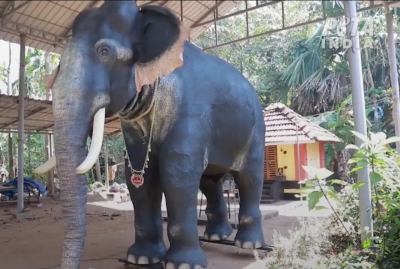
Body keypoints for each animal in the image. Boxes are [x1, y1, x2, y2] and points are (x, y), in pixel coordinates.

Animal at [34, 1, 266, 266]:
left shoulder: (191, 109)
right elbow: (138, 176)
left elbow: (178, 171)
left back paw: (248, 244)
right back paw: (216, 236)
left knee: (249, 178)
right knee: (211, 181)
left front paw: (183, 264)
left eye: (104, 51)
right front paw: (141, 258)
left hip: (256, 131)